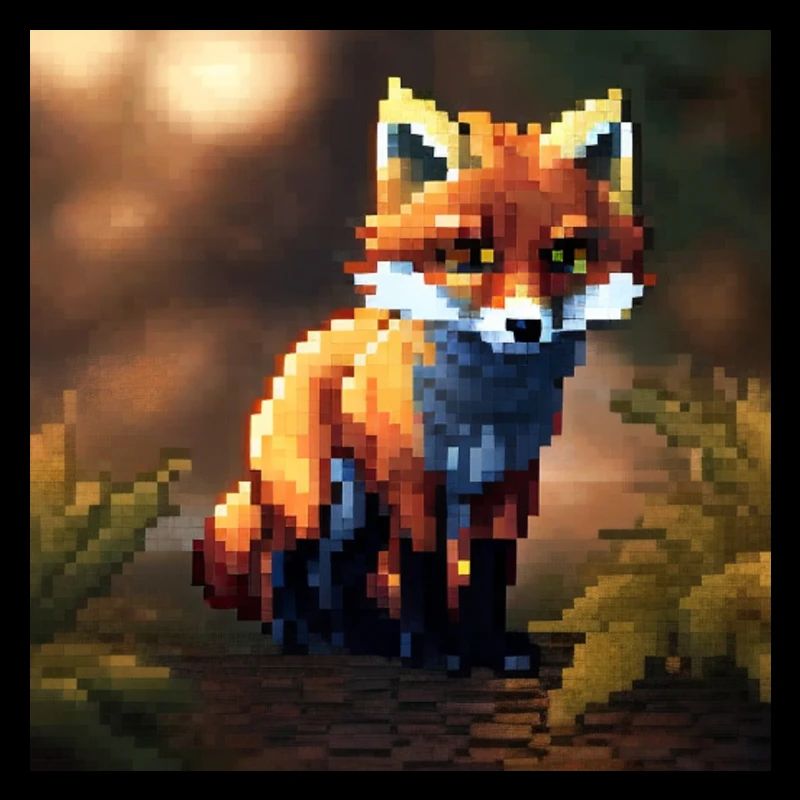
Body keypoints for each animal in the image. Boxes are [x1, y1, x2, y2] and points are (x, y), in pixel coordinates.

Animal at [193, 77, 653, 675]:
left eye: (567, 255)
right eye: (469, 254)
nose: (525, 326)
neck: (484, 410)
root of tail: (306, 343)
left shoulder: (508, 487)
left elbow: (488, 576)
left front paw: (486, 648)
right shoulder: (417, 485)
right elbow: (425, 572)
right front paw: (435, 651)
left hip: (364, 514)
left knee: (343, 576)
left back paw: (360, 636)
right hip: (318, 501)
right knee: (287, 561)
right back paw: (299, 634)